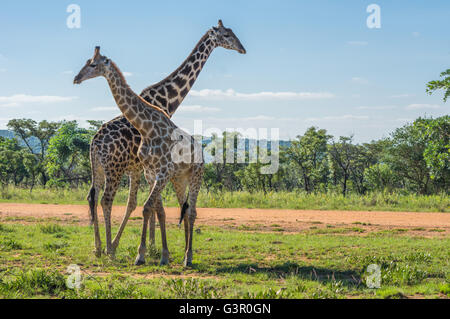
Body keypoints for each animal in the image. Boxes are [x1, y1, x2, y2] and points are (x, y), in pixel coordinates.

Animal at [75, 47, 204, 268]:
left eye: (93, 64)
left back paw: (187, 257)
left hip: (193, 175)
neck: (147, 126)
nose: (77, 78)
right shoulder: (151, 173)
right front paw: (150, 253)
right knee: (184, 209)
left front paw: (147, 252)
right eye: (87, 61)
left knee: (191, 211)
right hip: (176, 179)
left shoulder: (160, 172)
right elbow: (150, 208)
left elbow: (145, 207)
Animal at [84, 20, 246, 258]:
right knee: (106, 200)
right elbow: (147, 205)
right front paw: (150, 247)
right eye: (226, 35)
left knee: (92, 197)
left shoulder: (144, 169)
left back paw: (97, 247)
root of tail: (95, 143)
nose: (242, 49)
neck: (167, 100)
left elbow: (146, 205)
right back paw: (108, 249)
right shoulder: (145, 168)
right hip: (114, 168)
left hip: (98, 167)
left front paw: (150, 247)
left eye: (233, 33)